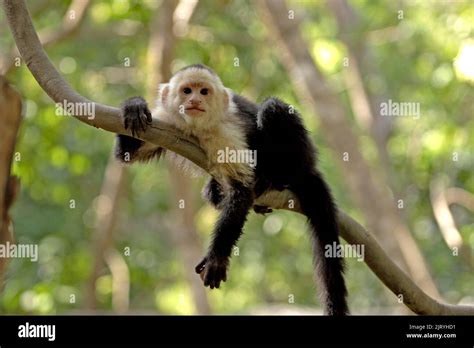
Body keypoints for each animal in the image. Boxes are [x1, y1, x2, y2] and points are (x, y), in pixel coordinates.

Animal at [115, 63, 348, 316]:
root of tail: (311, 164)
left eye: (204, 92)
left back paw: (274, 179)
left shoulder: (223, 132)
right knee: (213, 195)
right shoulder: (166, 120)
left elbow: (241, 190)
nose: (195, 100)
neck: (198, 127)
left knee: (272, 109)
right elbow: (126, 154)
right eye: (187, 91)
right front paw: (135, 105)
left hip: (302, 157)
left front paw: (217, 257)